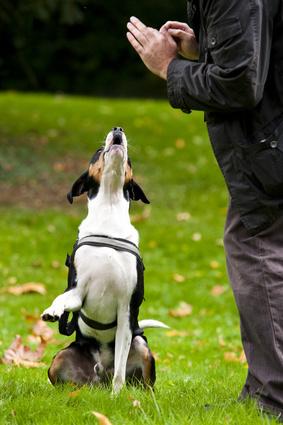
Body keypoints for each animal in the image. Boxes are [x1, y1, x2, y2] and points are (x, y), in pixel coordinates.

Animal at [41, 126, 168, 394]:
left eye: (129, 160)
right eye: (99, 151)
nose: (118, 129)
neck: (109, 210)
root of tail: (100, 376)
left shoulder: (125, 311)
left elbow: (120, 371)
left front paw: (116, 398)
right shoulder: (78, 292)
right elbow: (62, 298)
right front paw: (52, 310)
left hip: (141, 346)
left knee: (133, 377)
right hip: (60, 359)